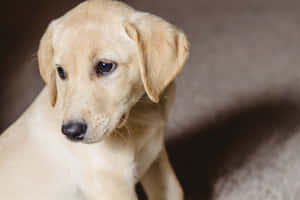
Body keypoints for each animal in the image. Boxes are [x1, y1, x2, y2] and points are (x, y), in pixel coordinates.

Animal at [0, 0, 188, 199]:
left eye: (105, 66)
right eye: (61, 71)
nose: (71, 132)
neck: (138, 113)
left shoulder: (156, 158)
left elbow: (175, 190)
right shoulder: (112, 185)